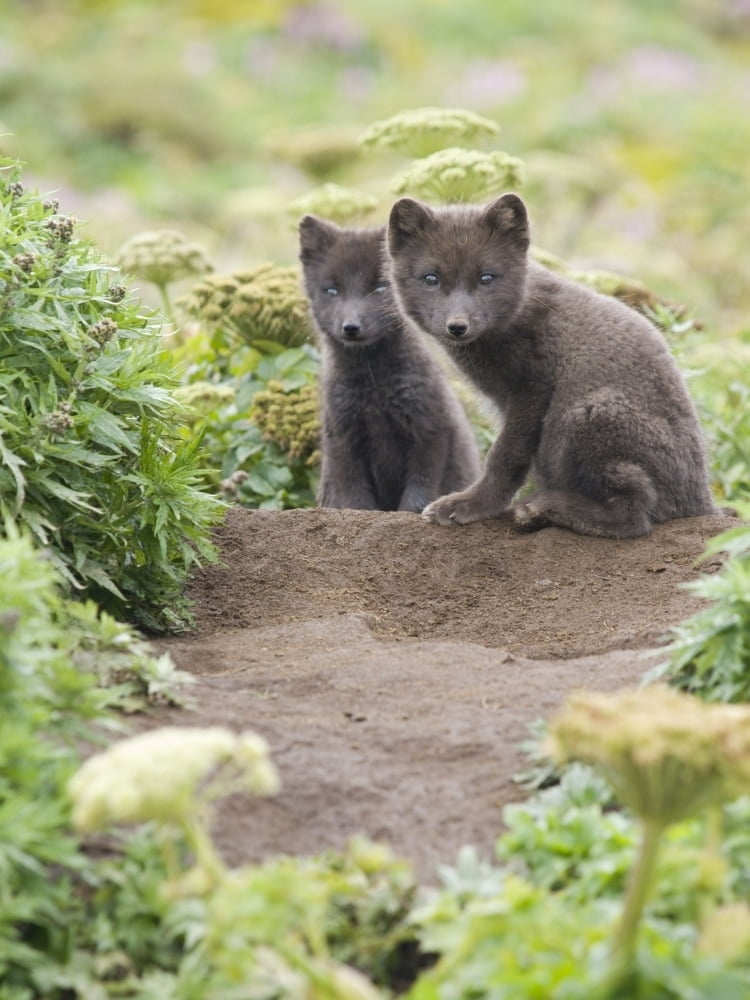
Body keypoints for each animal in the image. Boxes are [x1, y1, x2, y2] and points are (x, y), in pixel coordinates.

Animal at [298, 215, 481, 512]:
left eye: (380, 288)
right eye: (332, 290)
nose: (351, 327)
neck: (374, 386)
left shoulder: (430, 427)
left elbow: (418, 491)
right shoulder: (343, 436)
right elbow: (355, 496)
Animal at [385, 193, 715, 538]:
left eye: (486, 278)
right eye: (431, 279)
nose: (457, 326)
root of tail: (701, 501)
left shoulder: (532, 389)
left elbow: (504, 455)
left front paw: (471, 505)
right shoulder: (506, 402)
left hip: (582, 415)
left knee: (636, 515)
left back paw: (541, 508)